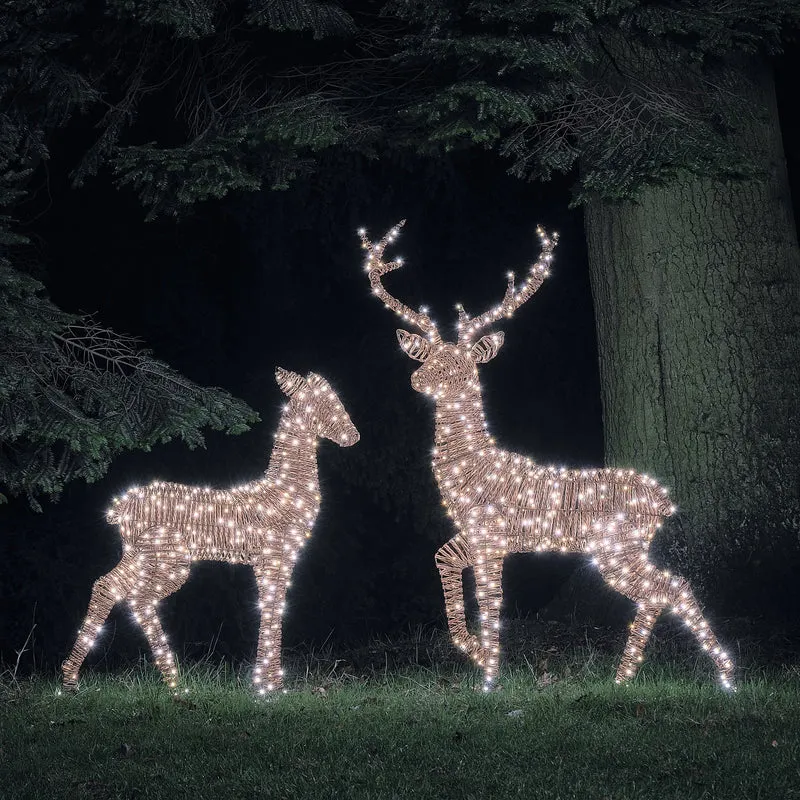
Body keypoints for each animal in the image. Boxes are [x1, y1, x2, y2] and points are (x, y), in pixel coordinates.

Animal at [62, 368, 359, 694]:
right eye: (324, 402)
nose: (353, 435)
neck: (283, 491)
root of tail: (121, 508)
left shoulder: (269, 560)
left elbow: (271, 605)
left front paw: (268, 682)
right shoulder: (275, 555)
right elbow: (272, 606)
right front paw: (269, 687)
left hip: (137, 555)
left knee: (106, 586)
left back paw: (70, 678)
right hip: (168, 559)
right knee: (139, 598)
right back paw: (174, 680)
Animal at [359, 221, 734, 692]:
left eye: (463, 364)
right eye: (429, 355)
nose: (418, 378)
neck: (471, 466)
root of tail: (664, 501)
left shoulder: (490, 533)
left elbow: (491, 600)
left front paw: (490, 677)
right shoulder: (475, 535)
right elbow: (442, 560)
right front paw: (476, 653)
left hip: (617, 546)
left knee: (672, 586)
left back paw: (723, 674)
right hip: (623, 549)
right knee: (661, 590)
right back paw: (625, 676)